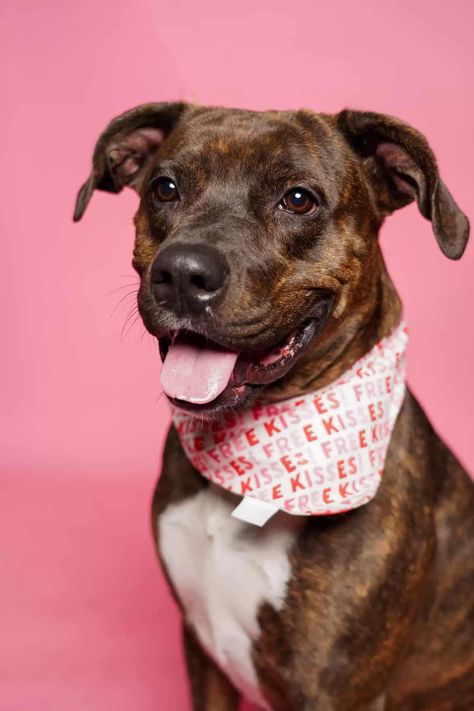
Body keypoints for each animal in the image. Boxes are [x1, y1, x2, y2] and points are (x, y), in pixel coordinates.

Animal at [75, 104, 474, 711]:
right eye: (165, 188)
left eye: (298, 199)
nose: (182, 273)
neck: (252, 469)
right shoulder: (202, 653)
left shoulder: (336, 689)